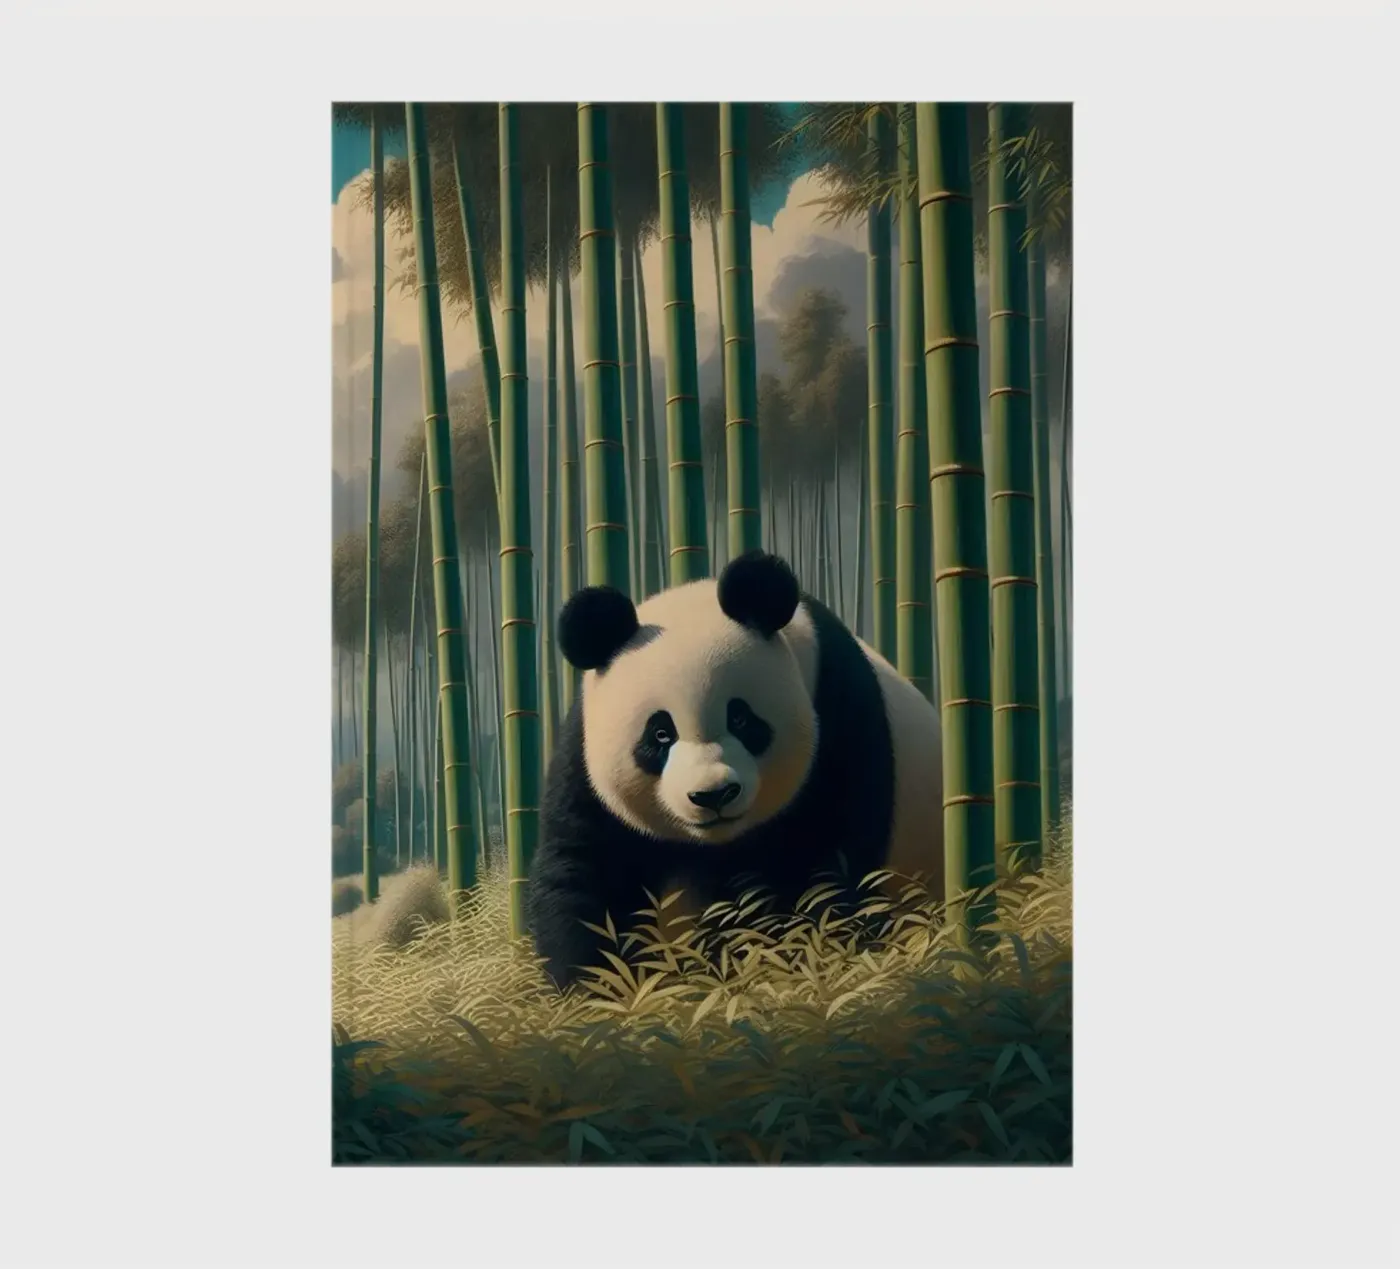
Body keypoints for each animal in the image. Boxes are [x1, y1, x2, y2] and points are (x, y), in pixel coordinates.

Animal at [527, 550, 943, 989]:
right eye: (660, 734)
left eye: (741, 719)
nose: (712, 795)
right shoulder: (585, 759)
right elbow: (585, 869)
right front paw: (601, 986)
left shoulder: (839, 715)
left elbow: (822, 866)